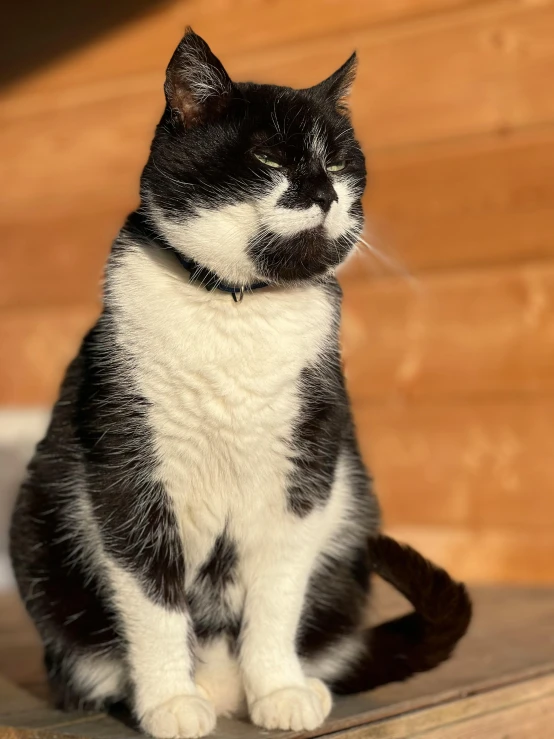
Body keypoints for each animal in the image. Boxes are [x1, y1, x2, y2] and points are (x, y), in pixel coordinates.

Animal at [8, 28, 468, 739]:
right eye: (267, 156)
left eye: (339, 162)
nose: (324, 193)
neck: (236, 306)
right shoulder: (127, 474)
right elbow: (152, 599)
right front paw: (170, 702)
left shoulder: (304, 472)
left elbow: (277, 596)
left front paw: (278, 690)